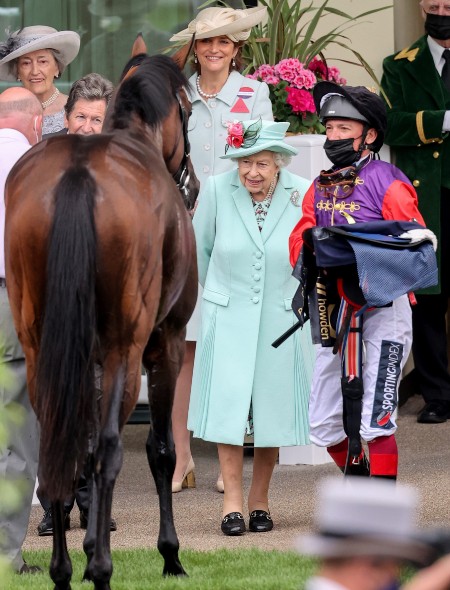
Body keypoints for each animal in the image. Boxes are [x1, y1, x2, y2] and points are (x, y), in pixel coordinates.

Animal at [4, 53, 199, 588]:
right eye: (190, 110)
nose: (193, 183)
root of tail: (78, 172)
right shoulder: (165, 343)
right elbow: (160, 449)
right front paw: (169, 554)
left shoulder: (82, 357)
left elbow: (82, 447)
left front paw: (89, 542)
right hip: (124, 353)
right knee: (111, 449)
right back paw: (101, 570)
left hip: (41, 349)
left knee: (58, 441)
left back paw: (63, 570)